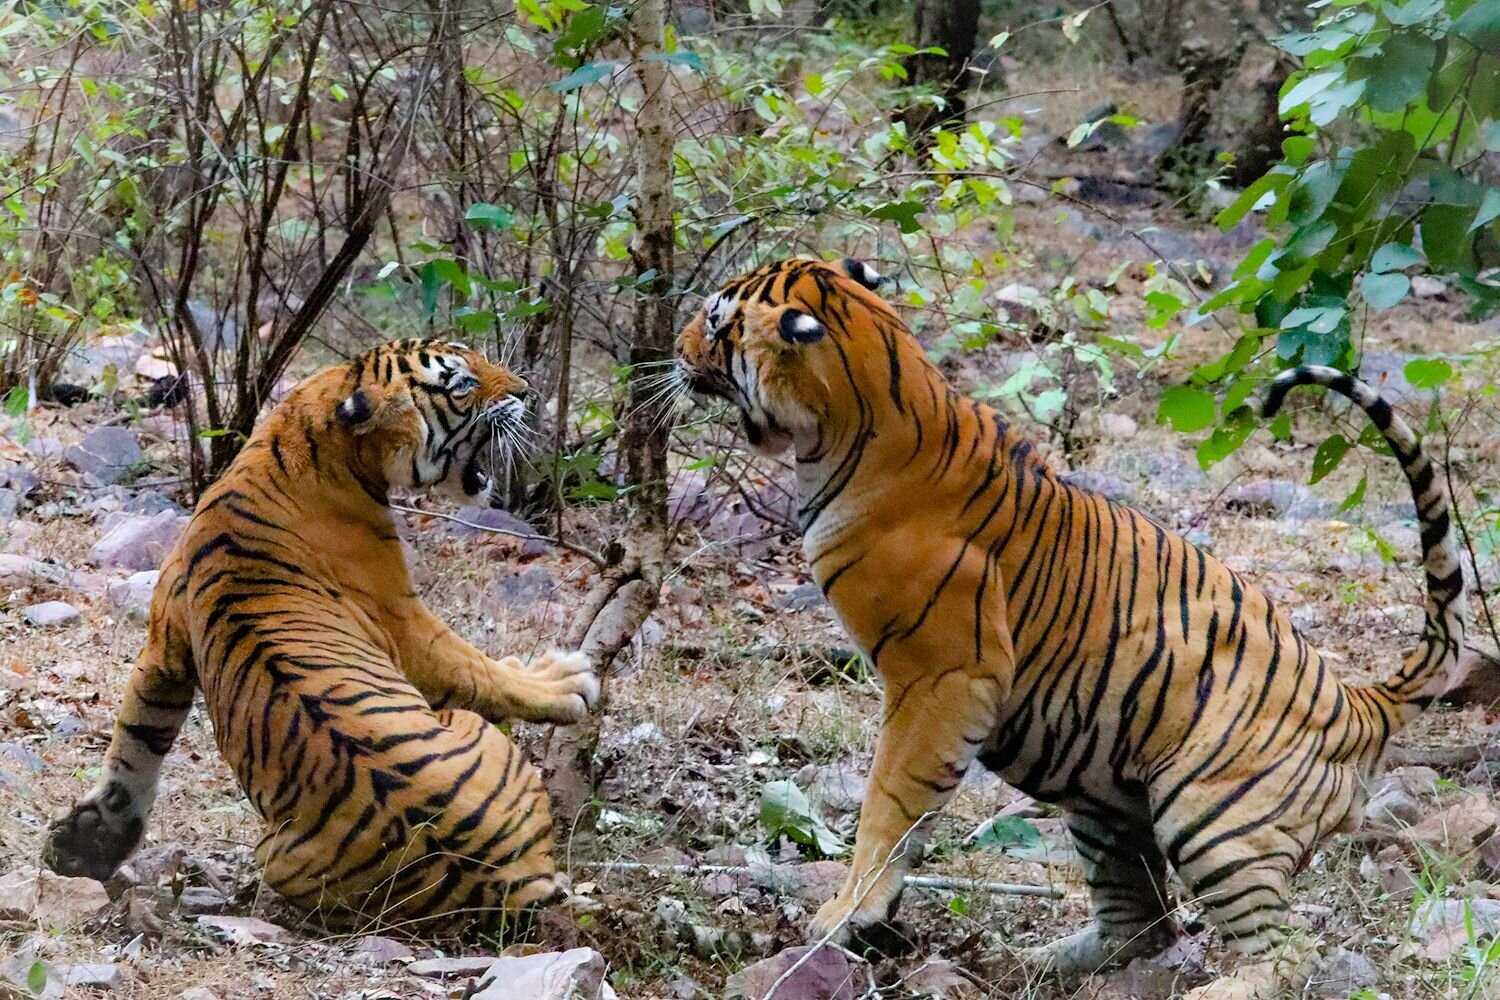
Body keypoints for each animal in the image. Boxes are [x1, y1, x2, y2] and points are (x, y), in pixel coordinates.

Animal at [44, 339, 600, 928]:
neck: (310, 427)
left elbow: (136, 739)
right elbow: (478, 668)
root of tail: (507, 882)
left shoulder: (166, 642)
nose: (527, 391)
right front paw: (565, 682)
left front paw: (89, 842)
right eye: (463, 382)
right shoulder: (402, 618)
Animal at [673, 257, 1467, 978]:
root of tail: (1360, 700)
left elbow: (891, 799)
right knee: (1142, 924)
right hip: (1103, 797)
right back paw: (1037, 961)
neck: (861, 406)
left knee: (1287, 954)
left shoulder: (942, 677)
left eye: (715, 320)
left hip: (1210, 814)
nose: (677, 346)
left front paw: (848, 913)